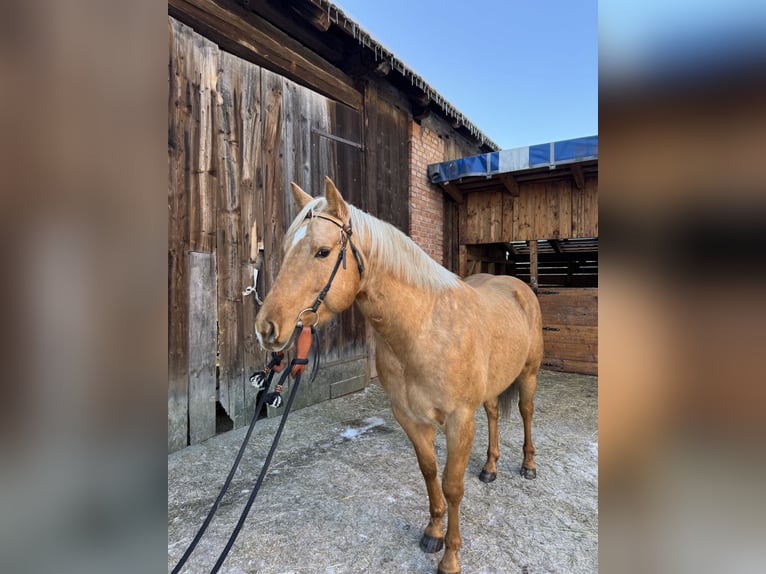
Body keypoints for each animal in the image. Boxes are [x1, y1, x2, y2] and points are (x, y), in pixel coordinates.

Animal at [255, 177, 543, 574]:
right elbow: (429, 473)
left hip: (528, 376)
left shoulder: (459, 420)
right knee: (495, 414)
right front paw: (433, 534)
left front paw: (451, 556)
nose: (266, 328)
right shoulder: (409, 418)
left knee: (527, 414)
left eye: (323, 252)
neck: (425, 328)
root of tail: (518, 286)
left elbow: (453, 486)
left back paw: (528, 466)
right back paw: (489, 468)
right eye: (285, 250)